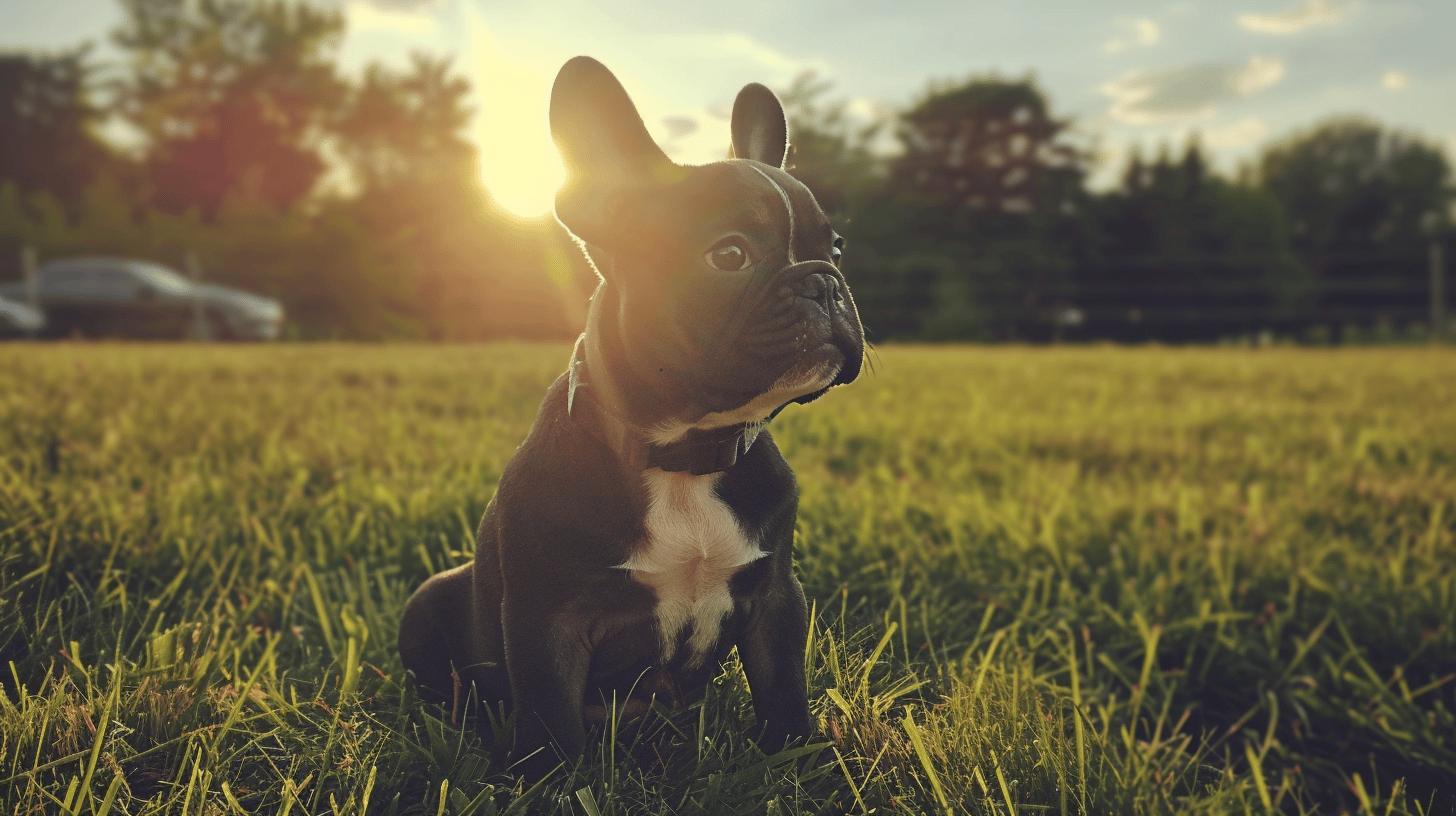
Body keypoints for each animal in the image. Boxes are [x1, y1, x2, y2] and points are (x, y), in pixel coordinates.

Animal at [398, 55, 861, 769]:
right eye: (729, 255)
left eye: (835, 249)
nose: (825, 281)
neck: (684, 456)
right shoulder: (548, 622)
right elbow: (551, 715)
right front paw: (553, 779)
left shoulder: (777, 600)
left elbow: (784, 687)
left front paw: (797, 758)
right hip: (429, 601)